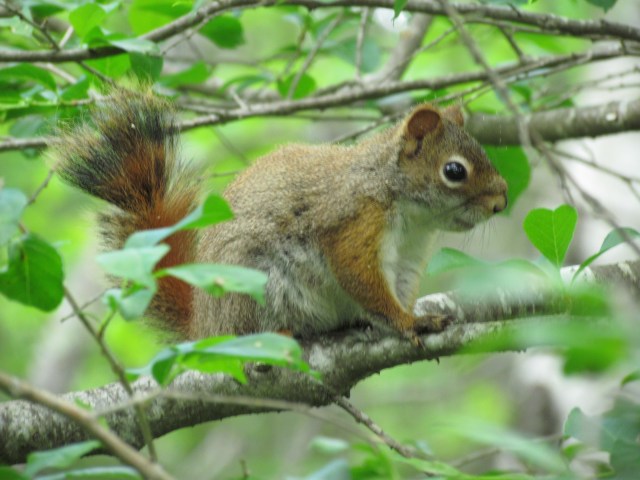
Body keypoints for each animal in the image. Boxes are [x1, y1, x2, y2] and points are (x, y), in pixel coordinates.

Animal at [57, 92, 507, 344]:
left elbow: (400, 286)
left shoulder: (411, 255)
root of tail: (203, 327)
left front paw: (411, 317)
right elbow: (361, 277)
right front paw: (407, 324)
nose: (501, 202)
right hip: (252, 287)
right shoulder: (353, 221)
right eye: (454, 171)